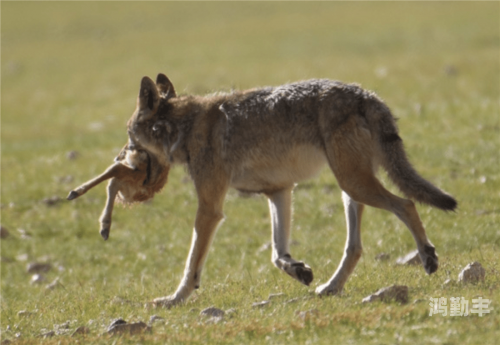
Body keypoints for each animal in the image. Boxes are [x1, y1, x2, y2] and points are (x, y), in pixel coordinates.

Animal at [106, 73, 458, 306]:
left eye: (130, 138)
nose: (118, 157)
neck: (185, 127)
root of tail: (367, 95)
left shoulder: (210, 209)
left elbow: (191, 264)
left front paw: (174, 299)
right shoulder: (279, 191)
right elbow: (277, 253)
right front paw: (298, 270)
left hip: (355, 184)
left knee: (407, 204)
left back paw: (427, 257)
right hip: (350, 190)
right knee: (355, 247)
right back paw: (331, 287)